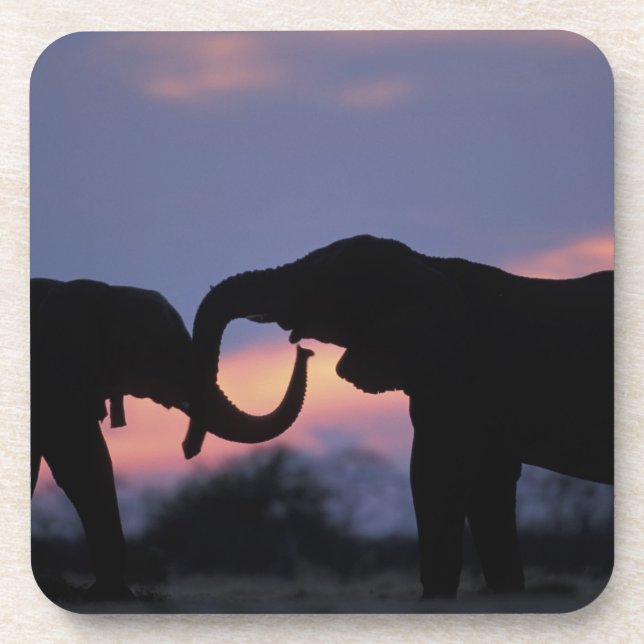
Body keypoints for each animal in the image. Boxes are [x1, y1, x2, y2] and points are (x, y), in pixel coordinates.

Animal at [31, 278, 312, 600]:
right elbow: (82, 461)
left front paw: (109, 595)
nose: (303, 350)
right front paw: (111, 595)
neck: (99, 292)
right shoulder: (54, 385)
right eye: (160, 350)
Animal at [184, 234, 613, 599]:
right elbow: (488, 486)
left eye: (324, 282)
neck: (428, 265)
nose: (190, 449)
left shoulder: (460, 380)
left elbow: (434, 474)